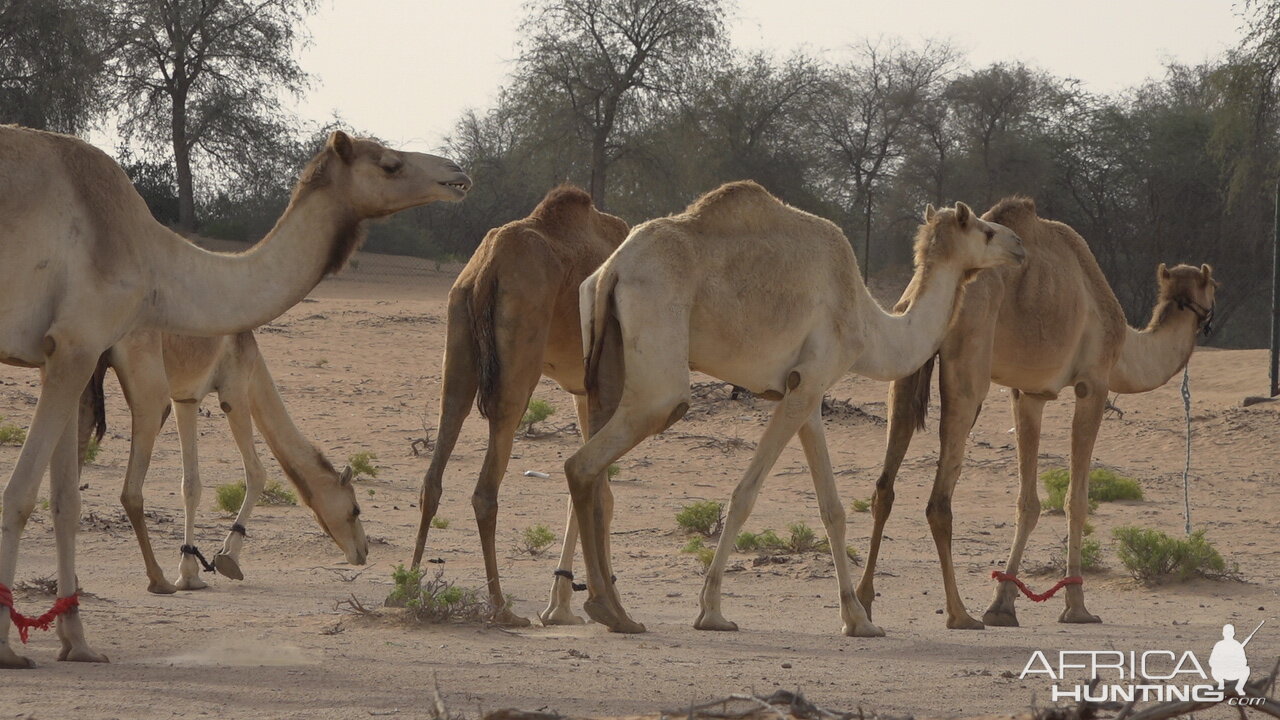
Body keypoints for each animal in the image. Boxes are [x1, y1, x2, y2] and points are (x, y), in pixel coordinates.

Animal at [78, 327, 371, 591]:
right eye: (355, 509)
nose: (363, 551)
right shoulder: (235, 389)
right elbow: (257, 473)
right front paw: (228, 559)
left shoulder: (186, 398)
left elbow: (190, 485)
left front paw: (189, 575)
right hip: (150, 395)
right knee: (130, 491)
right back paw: (158, 581)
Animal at [409, 184, 629, 622]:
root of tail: (487, 267)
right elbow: (599, 490)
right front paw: (605, 607)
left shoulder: (585, 390)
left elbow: (589, 485)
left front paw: (564, 606)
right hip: (519, 355)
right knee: (487, 483)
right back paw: (501, 607)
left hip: (458, 329)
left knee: (438, 456)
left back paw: (404, 591)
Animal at [560, 180, 1029, 632]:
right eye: (985, 230)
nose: (1020, 246)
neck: (870, 327)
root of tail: (612, 270)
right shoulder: (810, 381)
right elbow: (745, 494)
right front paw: (712, 611)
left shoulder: (806, 391)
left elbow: (832, 508)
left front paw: (857, 618)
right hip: (659, 359)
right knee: (590, 459)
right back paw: (608, 609)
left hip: (604, 354)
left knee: (595, 471)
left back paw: (611, 608)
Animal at [855, 196, 1213, 627]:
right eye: (1214, 286)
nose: (1211, 315)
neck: (1125, 345)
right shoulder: (1094, 384)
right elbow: (1077, 499)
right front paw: (1076, 607)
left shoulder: (1029, 393)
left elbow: (1027, 502)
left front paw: (1003, 605)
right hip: (969, 367)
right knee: (939, 499)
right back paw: (959, 613)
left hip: (905, 365)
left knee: (884, 486)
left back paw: (864, 603)